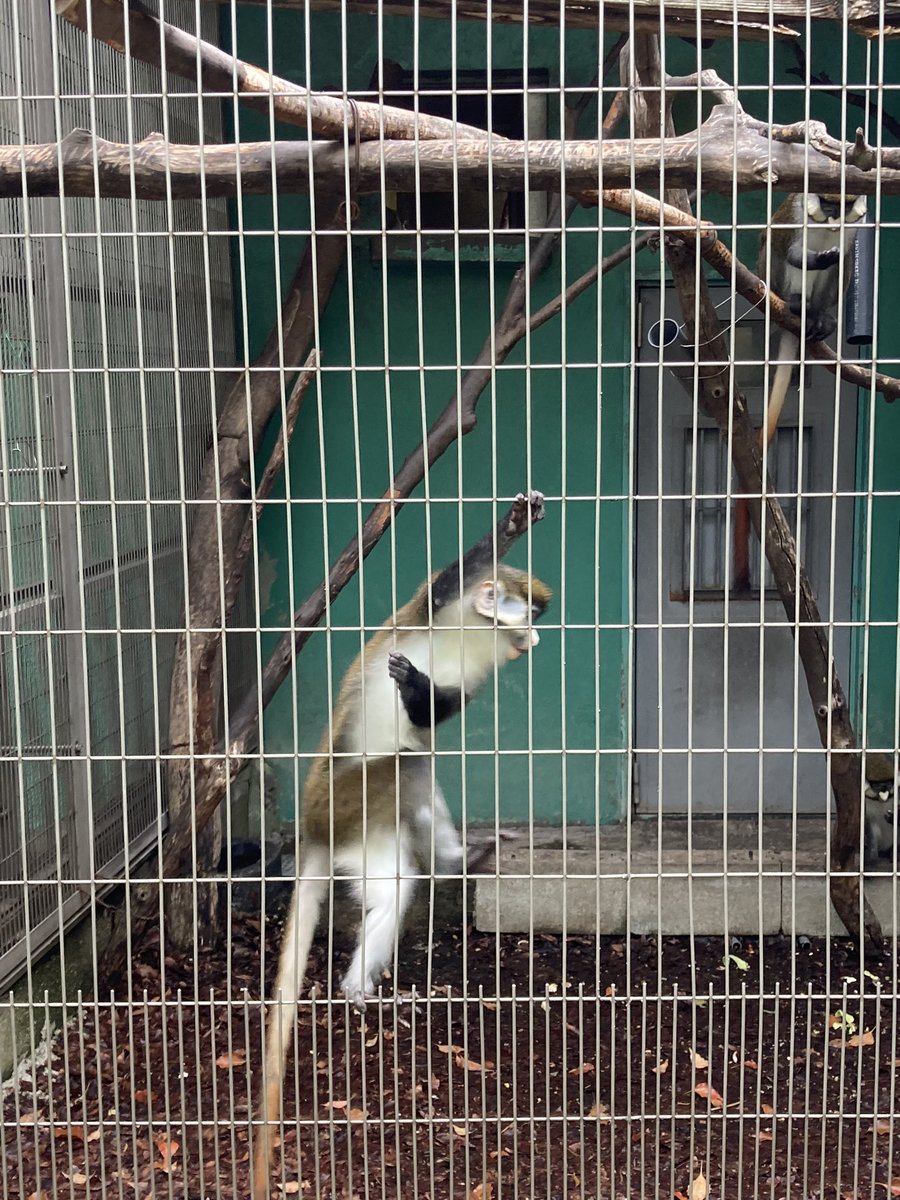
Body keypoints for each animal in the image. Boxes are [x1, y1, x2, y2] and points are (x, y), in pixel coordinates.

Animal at [251, 491, 550, 1200]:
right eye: (528, 611)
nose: (531, 637)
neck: (467, 639)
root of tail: (311, 829)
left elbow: (434, 710)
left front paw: (419, 693)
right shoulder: (429, 613)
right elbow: (454, 574)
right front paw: (515, 521)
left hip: (367, 826)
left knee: (414, 779)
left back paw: (454, 863)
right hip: (346, 804)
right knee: (398, 772)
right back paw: (358, 992)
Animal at [758, 192, 867, 448]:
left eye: (845, 206)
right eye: (827, 205)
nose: (835, 218)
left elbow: (843, 259)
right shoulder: (796, 217)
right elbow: (791, 253)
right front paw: (819, 259)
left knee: (843, 263)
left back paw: (819, 316)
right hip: (772, 280)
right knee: (776, 250)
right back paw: (797, 304)